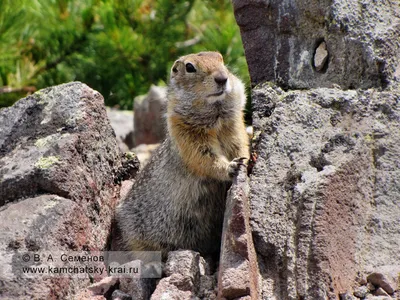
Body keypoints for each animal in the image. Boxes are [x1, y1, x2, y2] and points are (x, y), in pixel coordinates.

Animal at [114, 51, 248, 255]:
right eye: (190, 67)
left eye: (221, 59)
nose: (222, 78)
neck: (216, 118)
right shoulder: (186, 135)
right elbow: (203, 157)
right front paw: (232, 166)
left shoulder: (234, 128)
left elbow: (240, 144)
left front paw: (246, 160)